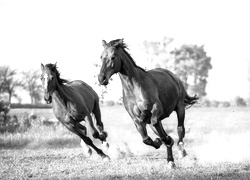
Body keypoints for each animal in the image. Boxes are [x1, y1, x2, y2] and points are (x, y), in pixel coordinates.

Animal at [98, 38, 198, 168]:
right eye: (101, 57)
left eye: (113, 57)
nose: (101, 78)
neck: (134, 89)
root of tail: (174, 77)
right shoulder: (137, 119)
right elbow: (146, 139)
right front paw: (158, 142)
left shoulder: (156, 109)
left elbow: (162, 130)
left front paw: (166, 140)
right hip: (152, 122)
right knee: (162, 131)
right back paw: (170, 161)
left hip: (180, 107)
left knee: (180, 128)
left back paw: (181, 150)